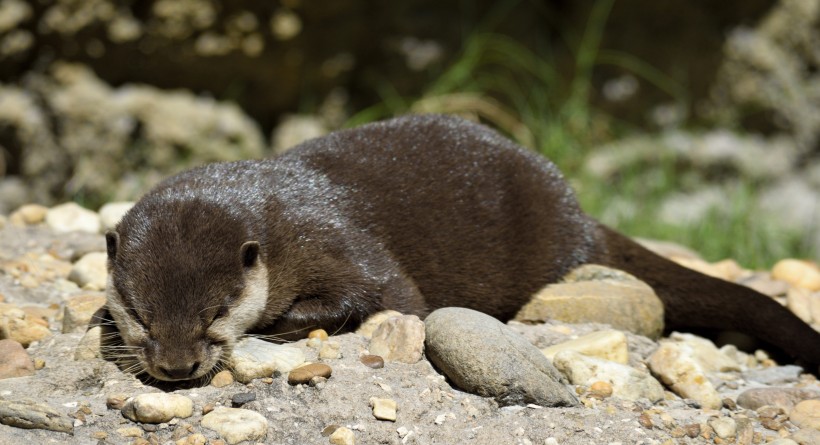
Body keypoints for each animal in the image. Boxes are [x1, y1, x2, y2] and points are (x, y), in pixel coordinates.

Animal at [107, 112, 820, 380]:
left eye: (216, 314)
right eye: (141, 315)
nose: (177, 368)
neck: (275, 226)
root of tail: (575, 210)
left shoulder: (332, 239)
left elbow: (390, 296)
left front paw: (278, 326)